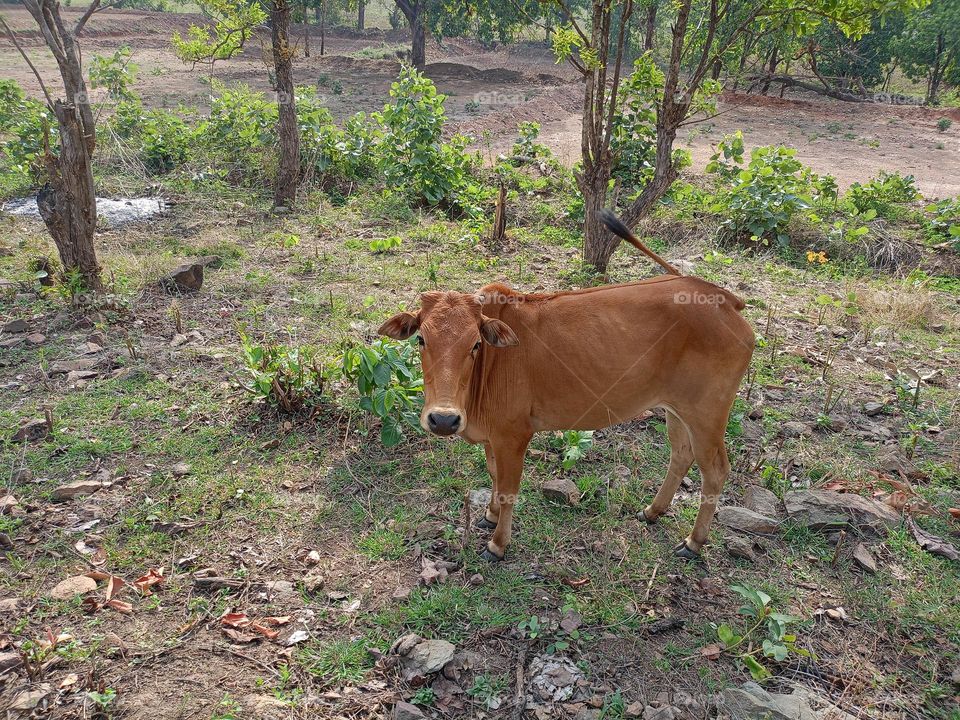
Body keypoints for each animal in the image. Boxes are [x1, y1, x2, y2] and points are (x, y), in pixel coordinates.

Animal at [378, 211, 754, 562]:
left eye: (475, 344)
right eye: (421, 339)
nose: (443, 419)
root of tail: (722, 297)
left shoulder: (514, 435)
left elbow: (508, 488)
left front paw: (498, 544)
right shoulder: (493, 437)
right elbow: (494, 475)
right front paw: (489, 515)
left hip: (708, 414)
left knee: (715, 470)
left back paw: (694, 542)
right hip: (675, 409)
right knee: (681, 454)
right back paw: (652, 511)